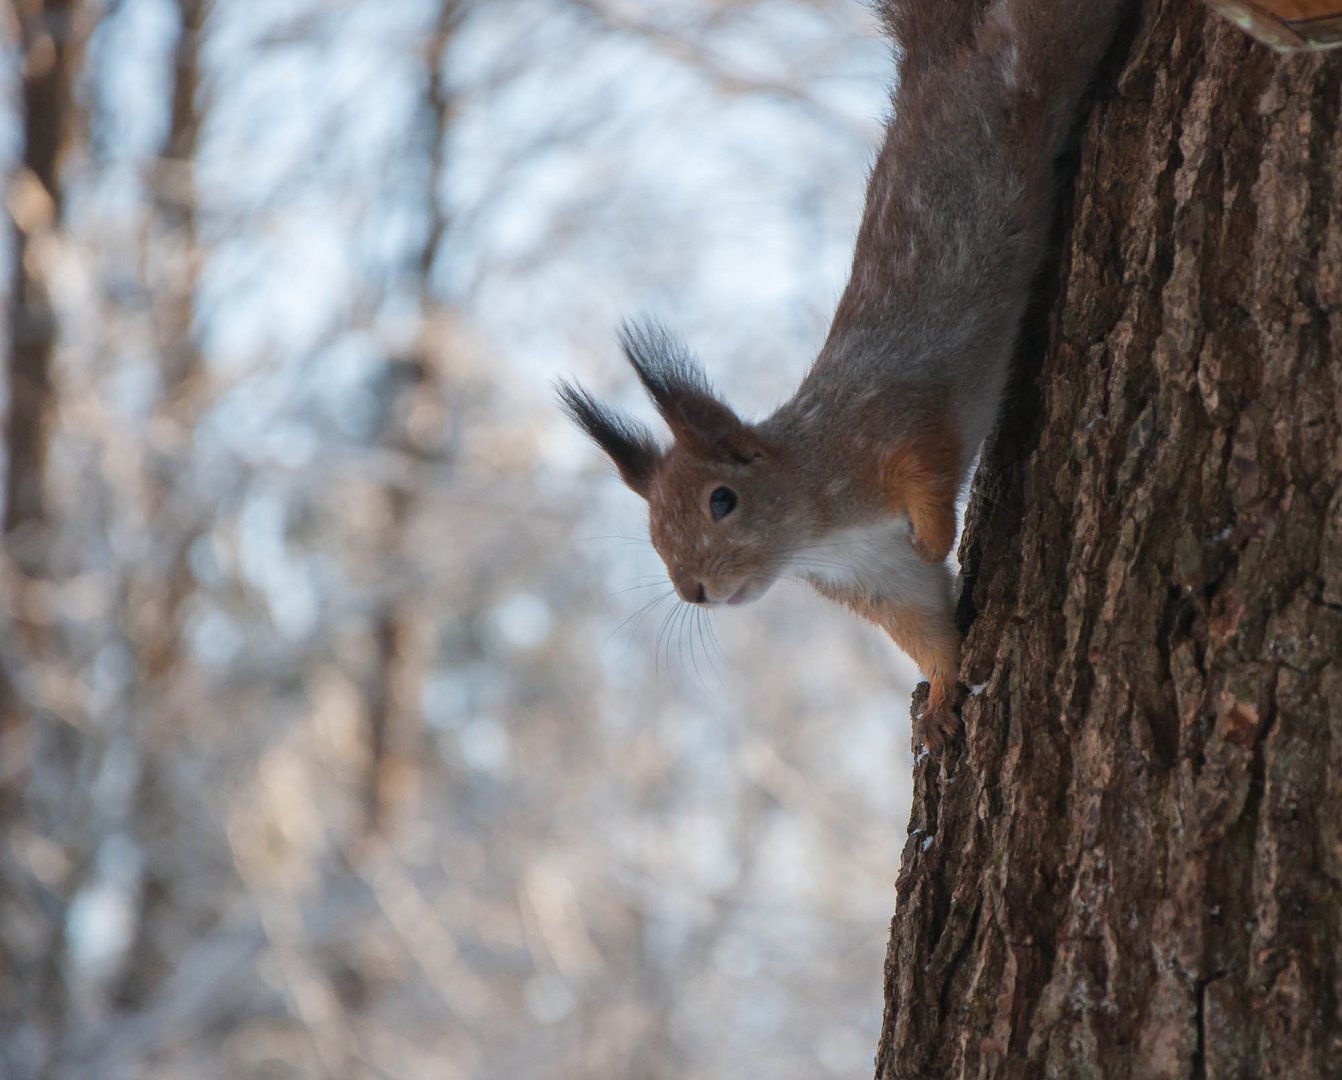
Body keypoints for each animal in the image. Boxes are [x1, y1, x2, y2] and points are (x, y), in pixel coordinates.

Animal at [560, 0, 1127, 756]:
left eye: (721, 501)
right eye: (652, 535)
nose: (693, 591)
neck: (817, 524)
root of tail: (932, 68)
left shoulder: (888, 423)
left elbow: (930, 462)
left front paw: (938, 535)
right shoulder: (877, 576)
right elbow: (926, 628)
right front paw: (941, 696)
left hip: (1037, 60)